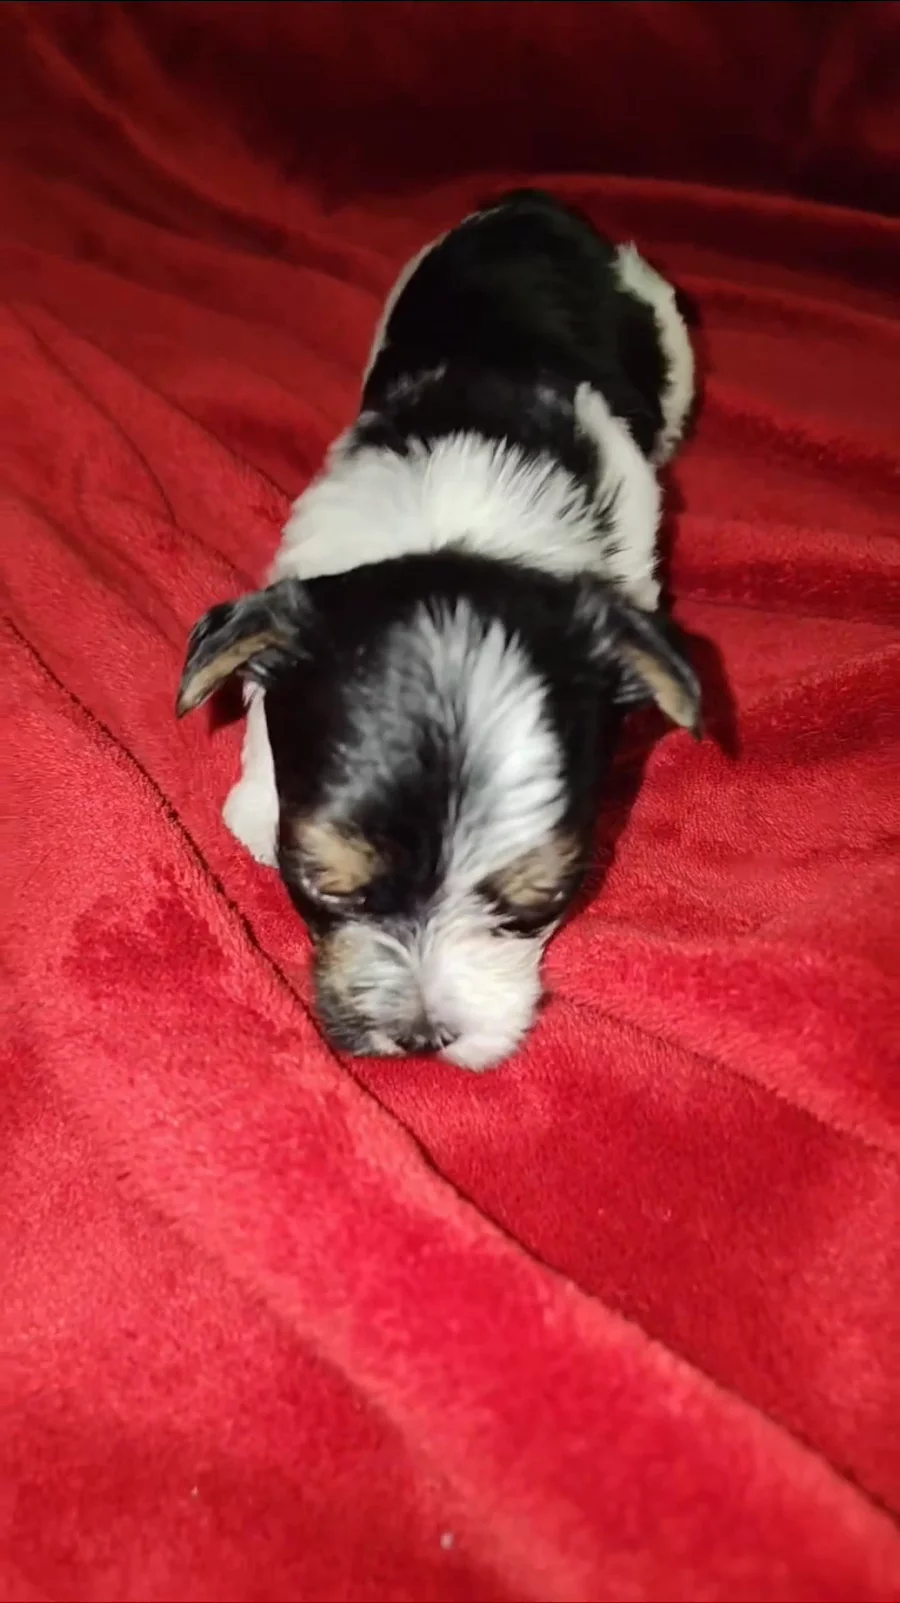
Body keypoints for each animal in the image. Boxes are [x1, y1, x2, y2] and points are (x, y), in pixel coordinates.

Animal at [177, 189, 701, 1071]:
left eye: (544, 898)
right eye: (320, 882)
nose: (423, 1034)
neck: (460, 531)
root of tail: (533, 207)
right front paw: (256, 796)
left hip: (666, 329)